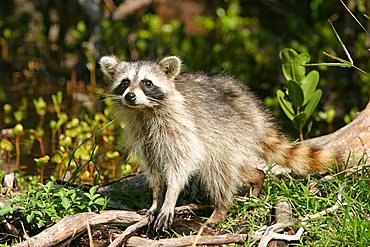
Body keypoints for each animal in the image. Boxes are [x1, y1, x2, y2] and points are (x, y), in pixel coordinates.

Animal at [99, 55, 334, 231]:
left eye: (147, 83)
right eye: (125, 82)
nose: (130, 96)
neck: (144, 111)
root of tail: (256, 112)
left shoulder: (180, 125)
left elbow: (182, 162)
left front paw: (170, 198)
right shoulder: (143, 136)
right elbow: (154, 169)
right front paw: (156, 199)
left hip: (230, 132)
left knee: (219, 170)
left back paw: (221, 208)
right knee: (235, 167)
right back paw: (257, 177)